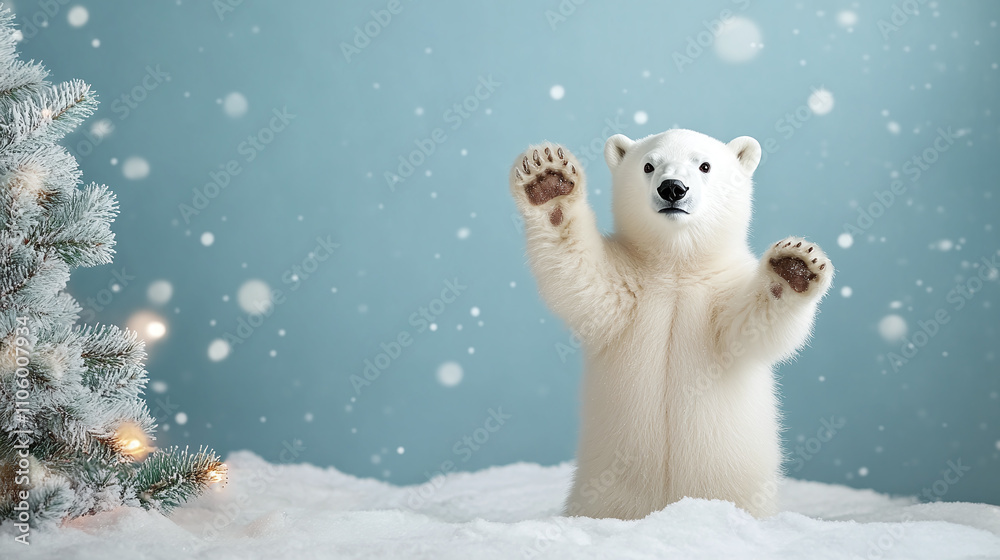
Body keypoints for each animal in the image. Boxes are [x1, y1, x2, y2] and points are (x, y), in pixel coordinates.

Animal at [508, 129, 833, 520]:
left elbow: (750, 328)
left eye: (704, 165)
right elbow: (578, 278)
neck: (677, 266)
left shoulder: (719, 296)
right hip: (601, 493)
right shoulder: (626, 287)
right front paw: (547, 181)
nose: (673, 188)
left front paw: (793, 266)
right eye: (649, 165)